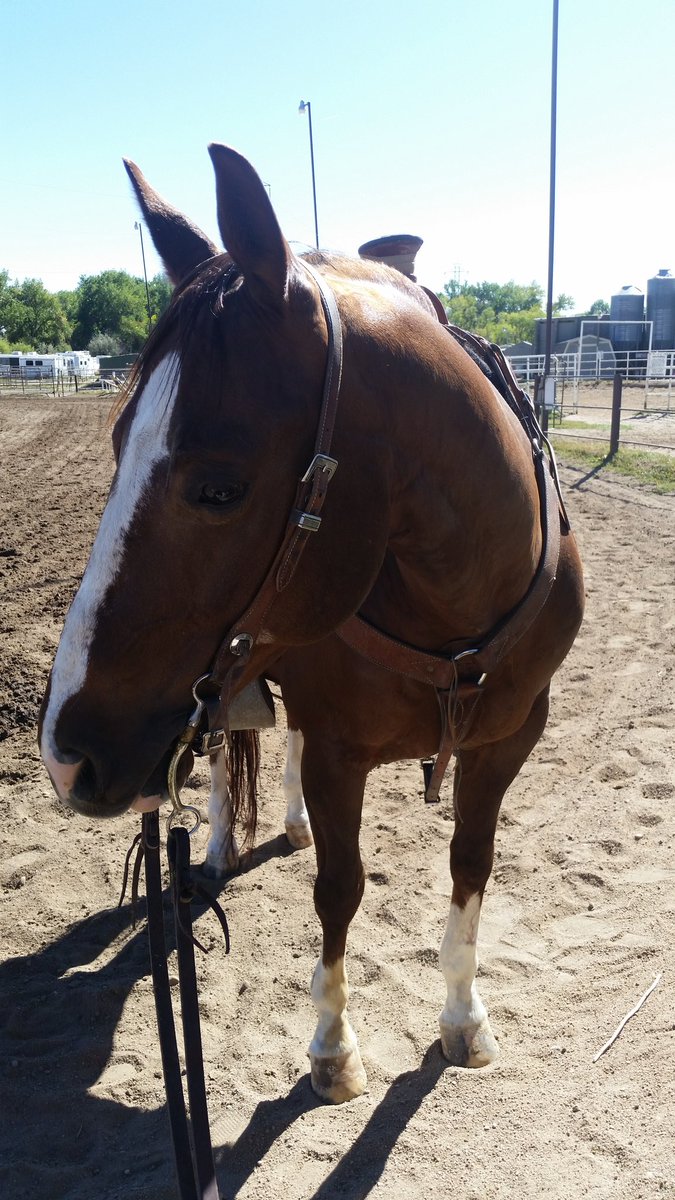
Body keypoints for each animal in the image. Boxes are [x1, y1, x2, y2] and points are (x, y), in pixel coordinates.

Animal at [39, 143, 584, 1105]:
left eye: (220, 486)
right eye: (114, 447)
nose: (67, 756)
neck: (455, 595)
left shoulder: (508, 740)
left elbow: (470, 864)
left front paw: (462, 1018)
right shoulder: (337, 750)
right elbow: (340, 889)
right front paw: (332, 1046)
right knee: (233, 752)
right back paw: (223, 841)